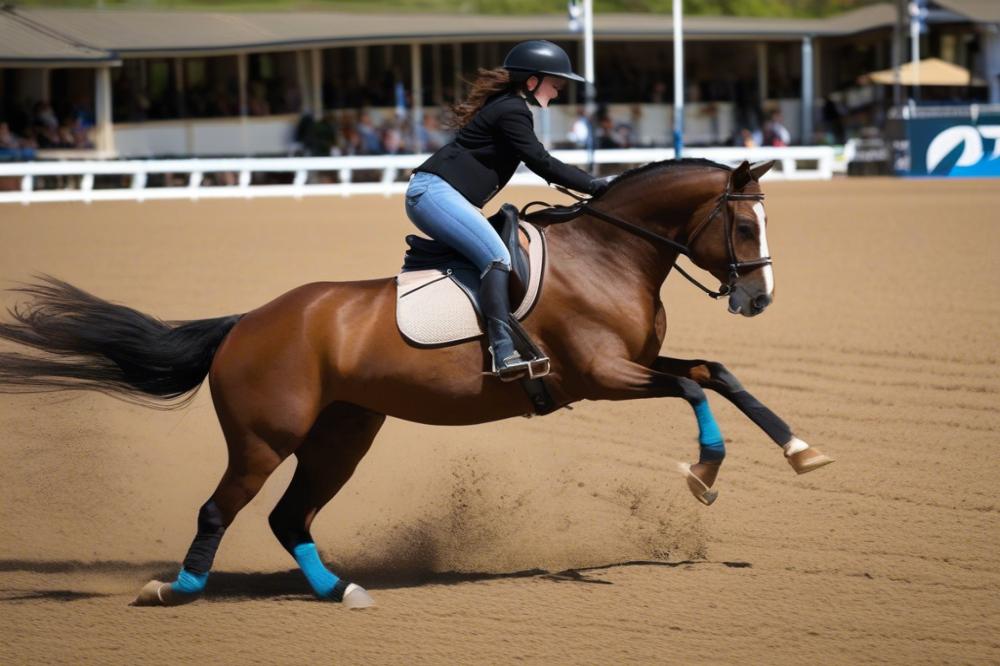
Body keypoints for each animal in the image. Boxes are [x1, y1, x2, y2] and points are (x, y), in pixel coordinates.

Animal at [0, 158, 832, 604]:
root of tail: (245, 323)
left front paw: (801, 451)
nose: (758, 300)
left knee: (289, 518)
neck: (609, 253)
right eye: (745, 225)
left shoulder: (634, 365)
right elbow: (693, 390)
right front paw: (703, 472)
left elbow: (716, 374)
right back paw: (177, 590)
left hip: (341, 437)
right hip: (264, 440)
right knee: (218, 510)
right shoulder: (601, 376)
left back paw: (339, 592)